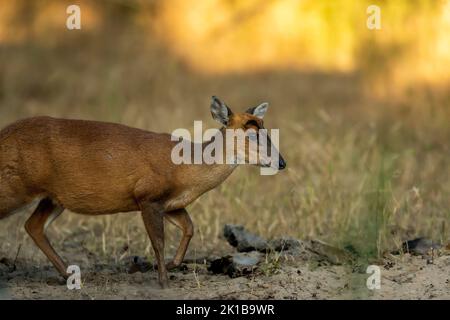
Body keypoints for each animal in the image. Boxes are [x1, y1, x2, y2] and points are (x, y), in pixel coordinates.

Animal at [0, 95, 286, 288]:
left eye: (266, 130)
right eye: (250, 135)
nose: (282, 162)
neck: (186, 168)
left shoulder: (169, 203)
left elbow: (189, 228)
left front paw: (167, 265)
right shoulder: (146, 195)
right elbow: (158, 241)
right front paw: (163, 281)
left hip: (53, 197)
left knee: (33, 226)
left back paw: (71, 275)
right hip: (15, 186)